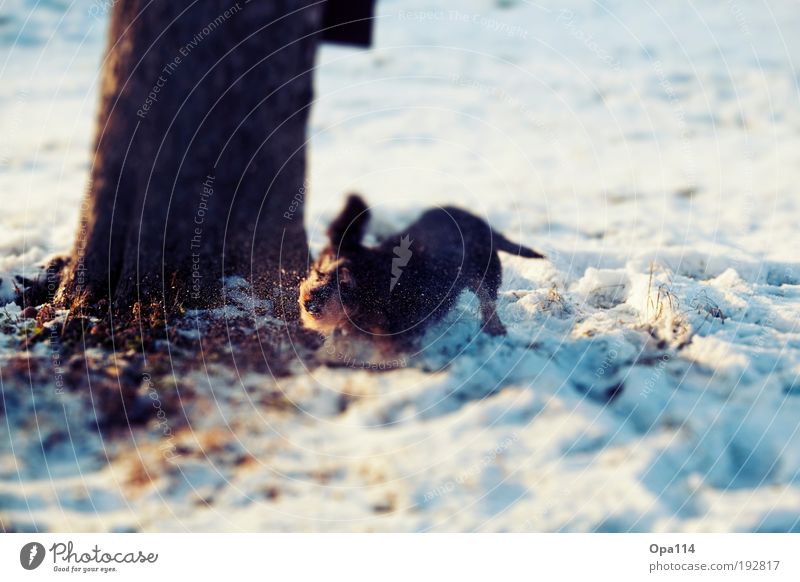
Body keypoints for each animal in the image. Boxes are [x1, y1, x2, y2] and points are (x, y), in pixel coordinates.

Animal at [300, 194, 544, 344]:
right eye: (318, 272)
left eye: (345, 283)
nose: (308, 303)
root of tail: (484, 225)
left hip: (486, 270)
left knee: (488, 299)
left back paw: (494, 329)